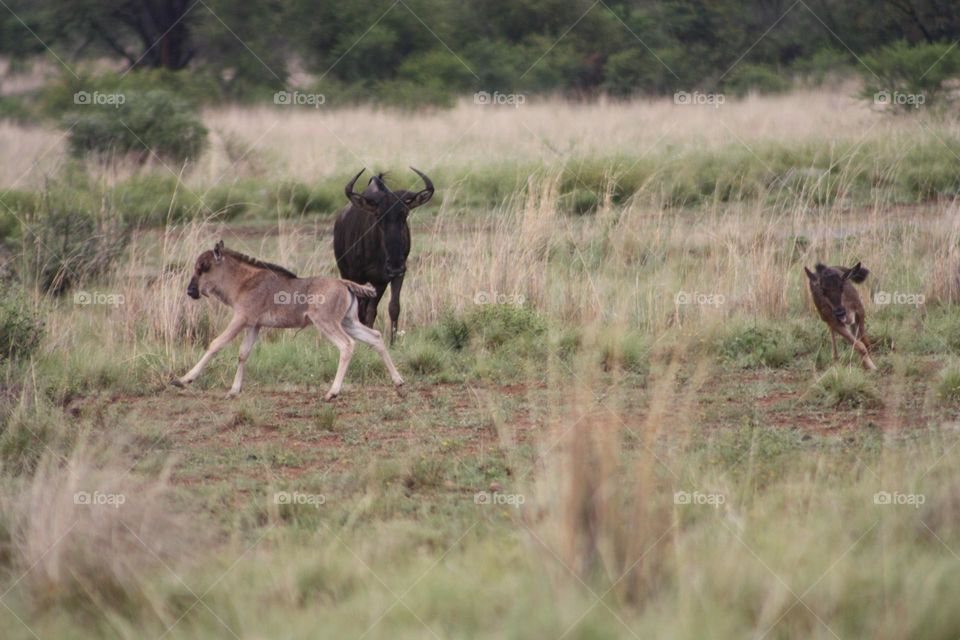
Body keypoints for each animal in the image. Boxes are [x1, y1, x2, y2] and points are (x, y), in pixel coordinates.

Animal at [172, 240, 404, 400]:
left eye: (203, 267)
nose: (190, 291)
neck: (244, 282)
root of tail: (343, 283)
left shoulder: (240, 319)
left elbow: (215, 344)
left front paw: (184, 379)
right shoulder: (254, 325)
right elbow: (243, 354)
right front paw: (234, 390)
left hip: (327, 323)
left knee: (347, 345)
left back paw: (332, 392)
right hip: (349, 322)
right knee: (375, 337)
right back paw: (398, 382)